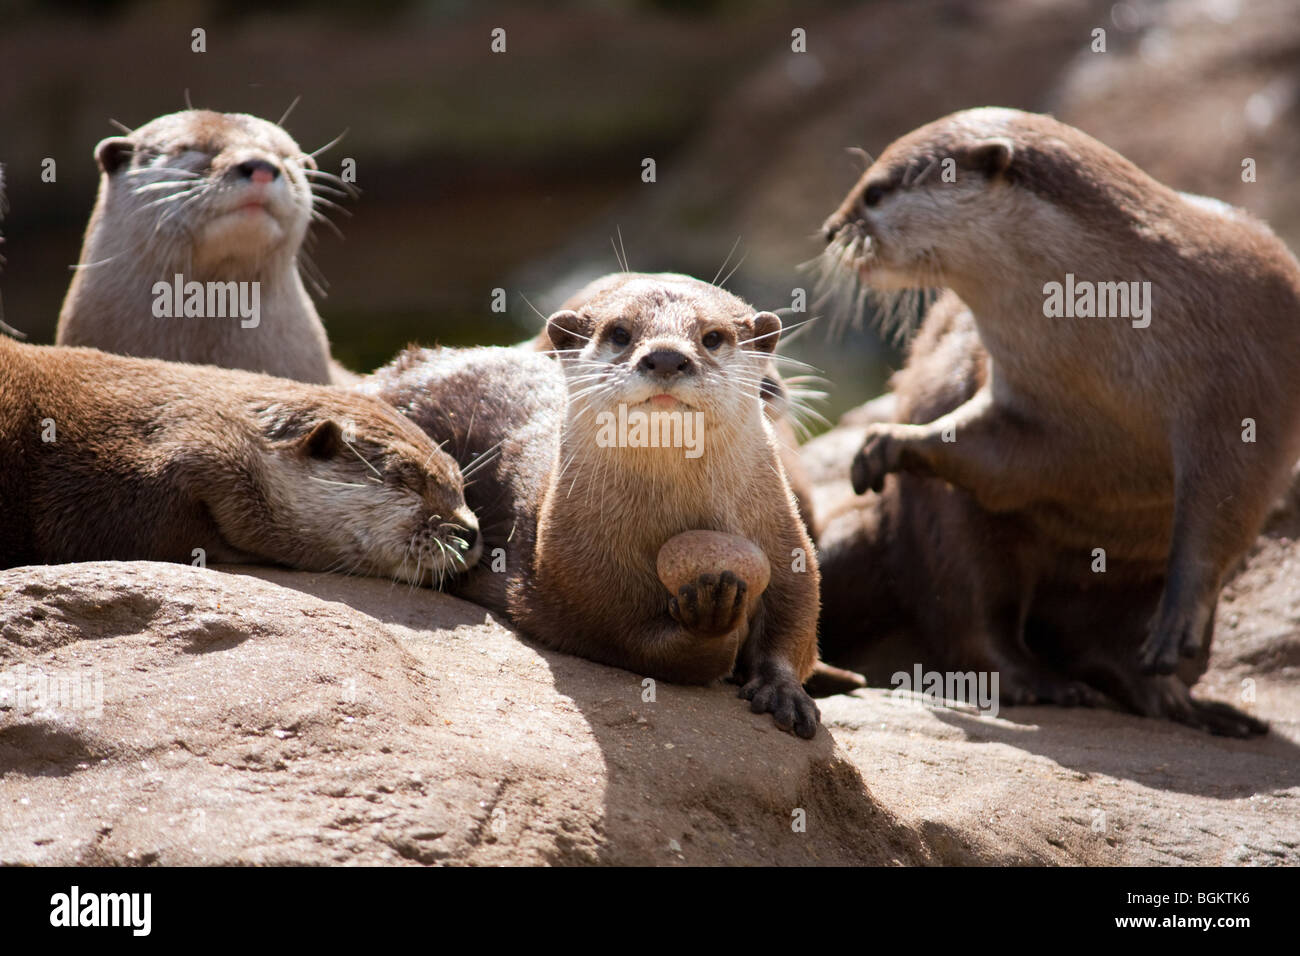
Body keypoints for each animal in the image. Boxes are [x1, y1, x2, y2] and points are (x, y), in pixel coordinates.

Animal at [361, 273, 821, 738]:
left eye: (712, 337)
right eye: (619, 333)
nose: (666, 357)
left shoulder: (783, 536)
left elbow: (796, 614)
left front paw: (783, 691)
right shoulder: (584, 580)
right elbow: (638, 643)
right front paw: (710, 619)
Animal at [811, 108, 1300, 738]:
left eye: (873, 191)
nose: (830, 229)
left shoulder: (1243, 393)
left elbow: (1221, 511)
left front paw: (1177, 623)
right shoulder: (1024, 405)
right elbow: (993, 455)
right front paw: (889, 442)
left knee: (1107, 644)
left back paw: (1184, 703)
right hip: (939, 533)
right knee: (974, 615)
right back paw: (1046, 684)